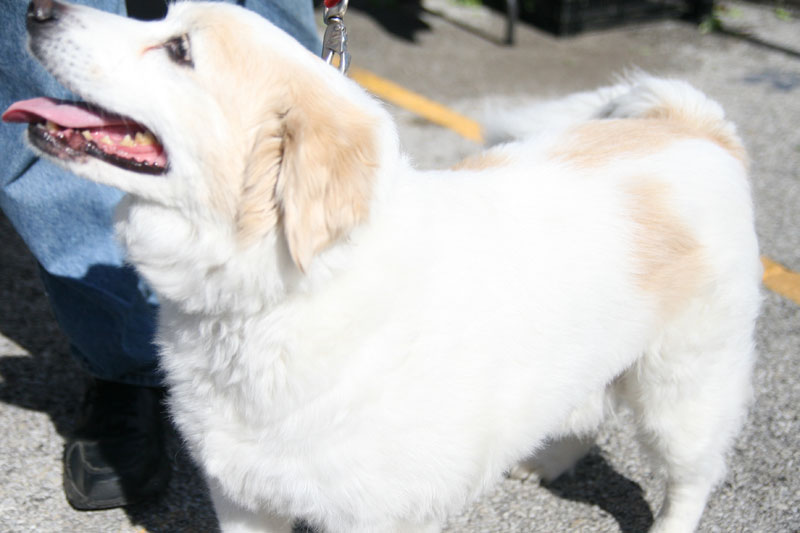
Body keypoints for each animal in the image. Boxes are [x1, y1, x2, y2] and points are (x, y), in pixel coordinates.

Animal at [4, 2, 764, 528]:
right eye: (161, 18)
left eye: (178, 49)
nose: (38, 9)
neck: (274, 303)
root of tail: (694, 125)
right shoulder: (243, 495)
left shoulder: (377, 514)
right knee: (584, 410)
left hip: (685, 385)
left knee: (692, 476)